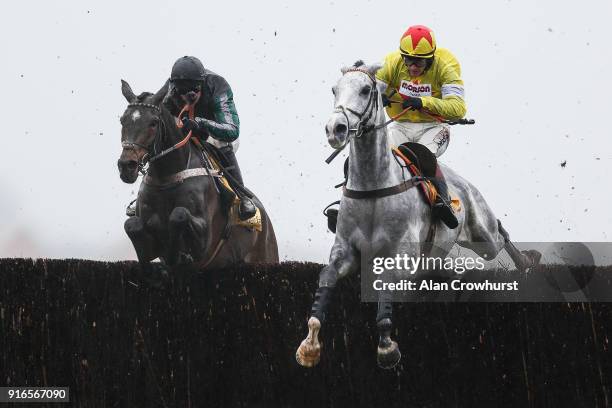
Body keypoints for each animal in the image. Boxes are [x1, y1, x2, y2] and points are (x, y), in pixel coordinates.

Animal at [296, 61, 540, 370]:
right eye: (334, 90)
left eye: (365, 90)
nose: (335, 129)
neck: (374, 185)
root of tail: (460, 180)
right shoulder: (345, 250)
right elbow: (327, 276)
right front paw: (309, 345)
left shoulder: (402, 255)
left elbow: (386, 283)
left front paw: (387, 347)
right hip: (437, 256)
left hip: (482, 234)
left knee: (499, 233)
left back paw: (527, 260)